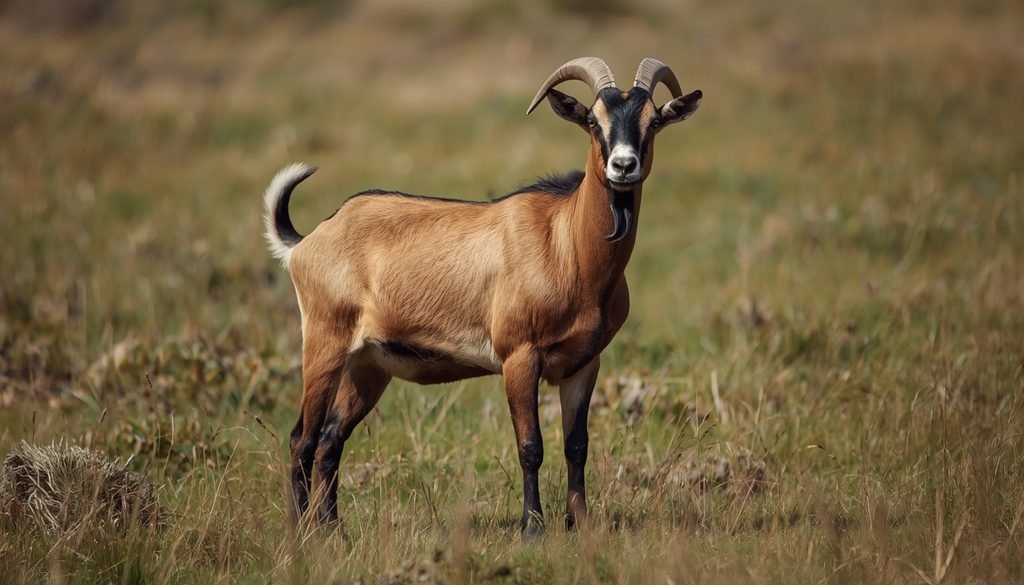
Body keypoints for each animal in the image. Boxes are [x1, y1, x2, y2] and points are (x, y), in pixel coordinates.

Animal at [263, 57, 701, 539]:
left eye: (653, 121)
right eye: (592, 120)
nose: (624, 166)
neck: (567, 245)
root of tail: (306, 242)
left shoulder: (584, 365)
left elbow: (577, 446)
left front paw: (580, 524)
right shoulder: (519, 357)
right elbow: (531, 446)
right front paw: (532, 529)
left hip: (368, 367)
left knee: (330, 440)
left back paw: (333, 531)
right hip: (325, 345)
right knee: (302, 438)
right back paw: (301, 535)